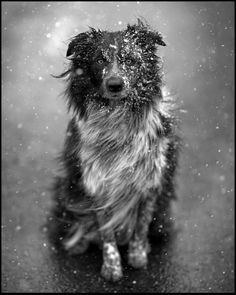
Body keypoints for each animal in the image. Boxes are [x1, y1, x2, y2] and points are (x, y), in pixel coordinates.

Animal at [49, 18, 179, 282]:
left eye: (130, 59)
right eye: (99, 60)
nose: (115, 84)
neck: (117, 119)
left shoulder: (150, 182)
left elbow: (141, 226)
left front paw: (137, 257)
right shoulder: (97, 183)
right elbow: (106, 233)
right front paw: (111, 268)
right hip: (66, 189)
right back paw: (77, 243)